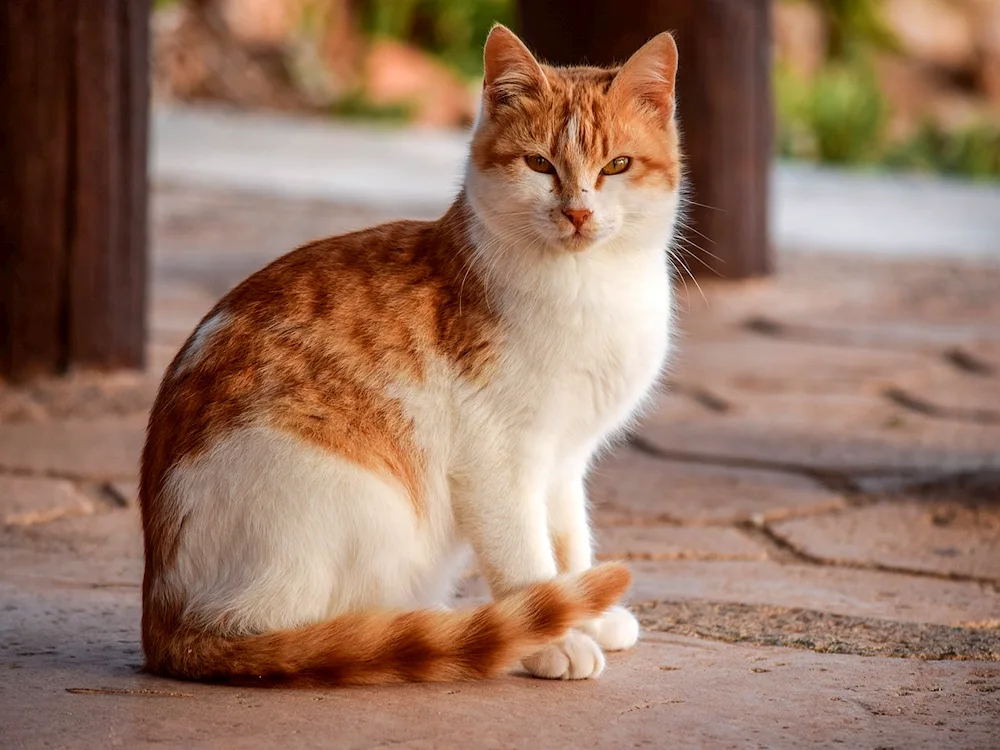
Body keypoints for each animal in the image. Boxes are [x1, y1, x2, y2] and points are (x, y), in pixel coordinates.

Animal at [141, 22, 684, 688]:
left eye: (617, 165)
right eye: (539, 163)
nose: (577, 212)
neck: (593, 289)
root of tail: (163, 621)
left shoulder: (565, 461)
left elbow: (569, 543)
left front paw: (590, 611)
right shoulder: (498, 461)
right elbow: (526, 559)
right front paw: (552, 637)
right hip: (358, 503)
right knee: (304, 631)